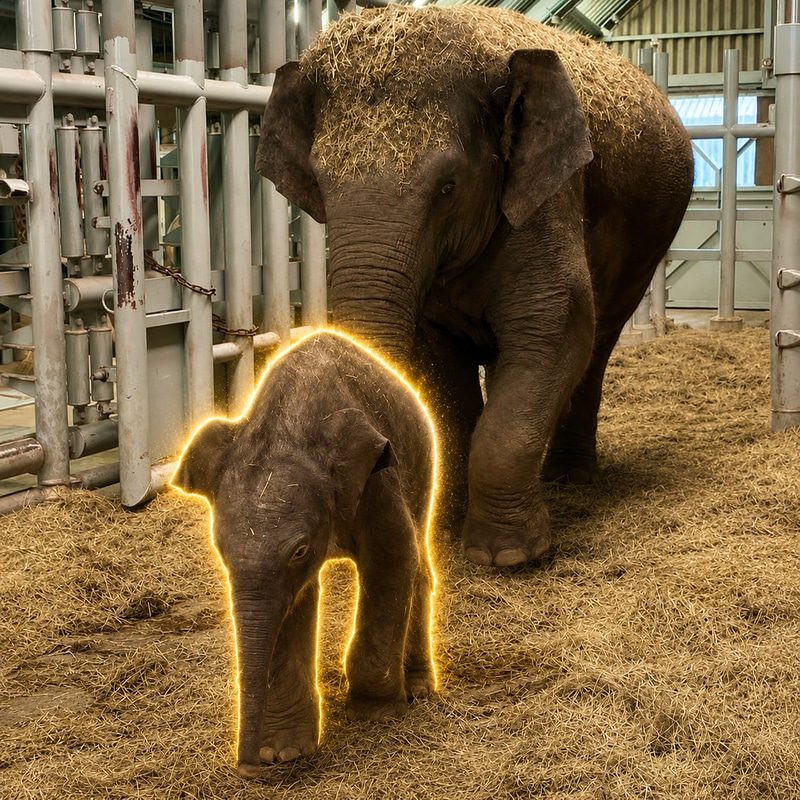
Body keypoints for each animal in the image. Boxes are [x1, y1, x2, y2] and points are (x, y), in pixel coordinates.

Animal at [171, 330, 436, 779]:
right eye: (220, 549)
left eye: (299, 550)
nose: (247, 769)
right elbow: (289, 605)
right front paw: (282, 753)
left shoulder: (379, 483)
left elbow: (392, 558)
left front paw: (376, 715)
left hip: (423, 461)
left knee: (418, 560)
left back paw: (418, 688)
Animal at [256, 6, 694, 568]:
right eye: (320, 184)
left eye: (448, 188)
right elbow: (442, 368)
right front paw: (446, 523)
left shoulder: (547, 200)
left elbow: (553, 333)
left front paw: (506, 557)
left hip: (648, 242)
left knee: (597, 344)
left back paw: (570, 479)